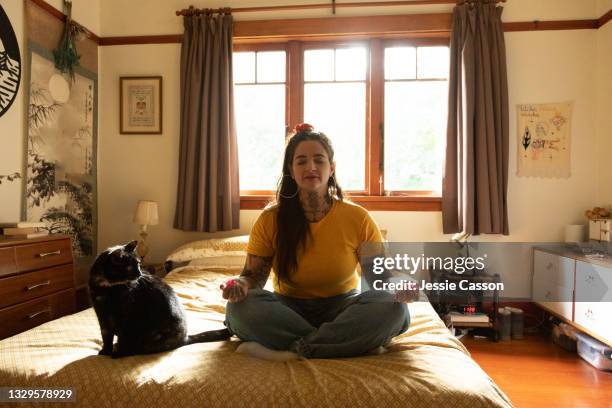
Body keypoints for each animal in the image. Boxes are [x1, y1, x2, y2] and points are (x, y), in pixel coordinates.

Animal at [91, 241, 232, 358]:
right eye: (130, 267)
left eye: (138, 264)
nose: (140, 274)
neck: (107, 288)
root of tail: (185, 338)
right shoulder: (101, 315)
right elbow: (106, 335)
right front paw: (105, 352)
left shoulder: (126, 319)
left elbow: (123, 338)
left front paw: (118, 354)